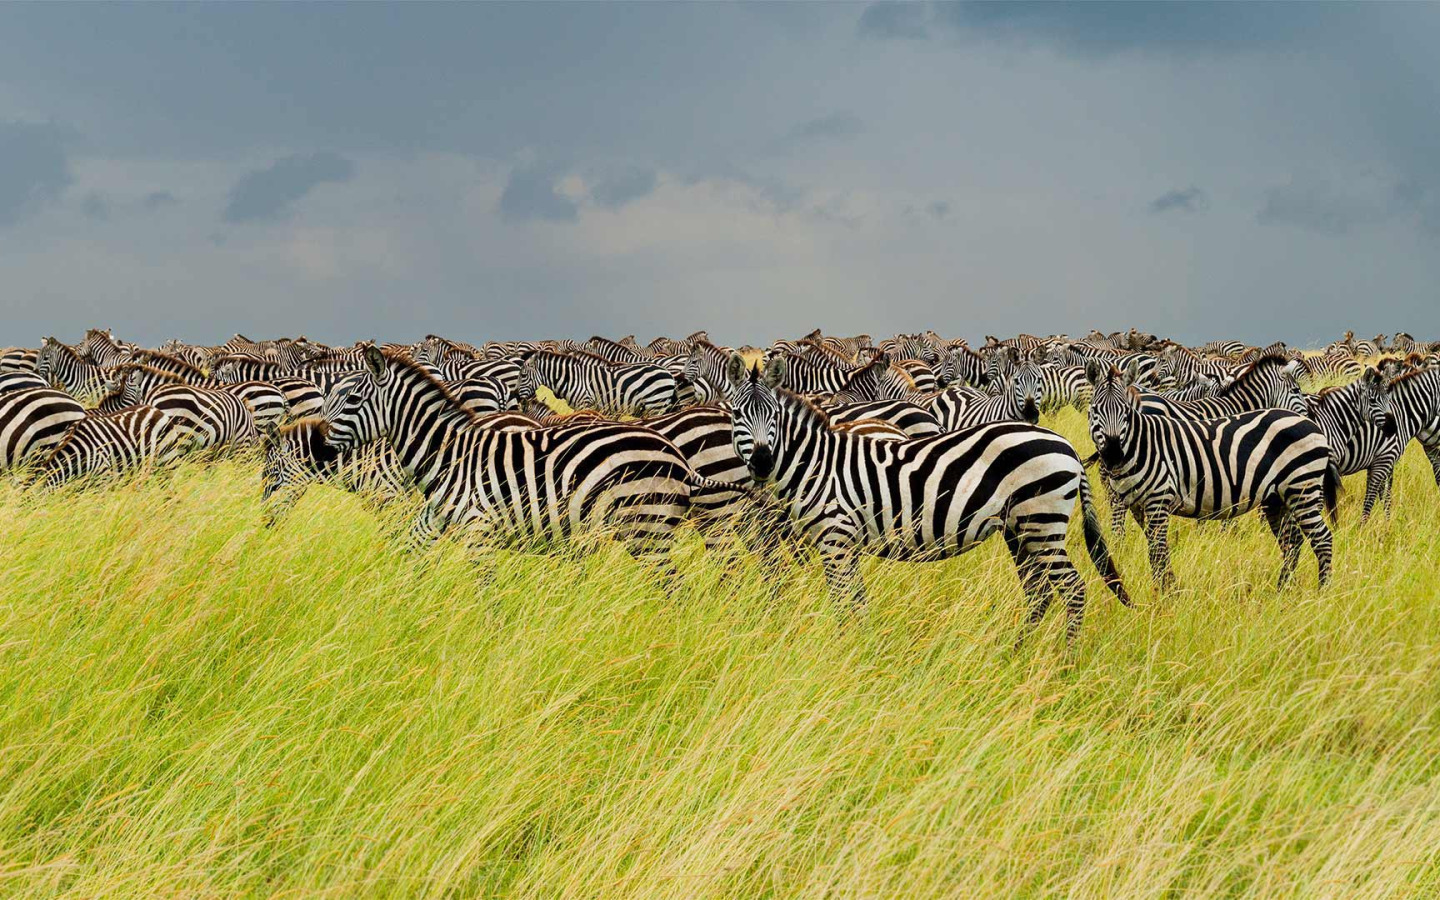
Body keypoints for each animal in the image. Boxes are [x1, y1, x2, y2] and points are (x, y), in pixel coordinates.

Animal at [515, 347, 676, 417]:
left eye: (523, 375)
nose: (516, 396)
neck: (572, 378)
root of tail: (668, 373)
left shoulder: (584, 403)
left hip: (656, 404)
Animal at [725, 351, 1128, 639]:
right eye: (738, 416)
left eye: (772, 415)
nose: (761, 462)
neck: (817, 464)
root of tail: (1067, 447)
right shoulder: (844, 544)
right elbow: (857, 602)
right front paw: (862, 647)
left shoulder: (835, 539)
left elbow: (844, 603)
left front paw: (846, 652)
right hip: (1020, 529)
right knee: (1039, 592)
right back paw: (1017, 654)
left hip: (1042, 523)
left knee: (1073, 590)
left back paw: (1065, 664)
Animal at [1088, 361, 1336, 587]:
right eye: (1094, 411)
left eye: (1125, 412)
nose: (1112, 454)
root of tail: (1311, 426)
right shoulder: (1143, 503)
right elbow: (1157, 549)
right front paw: (1166, 590)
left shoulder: (1161, 499)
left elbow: (1157, 550)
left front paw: (1166, 594)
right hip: (1279, 497)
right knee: (1294, 541)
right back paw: (1284, 589)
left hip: (1301, 488)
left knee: (1321, 538)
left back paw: (1321, 591)